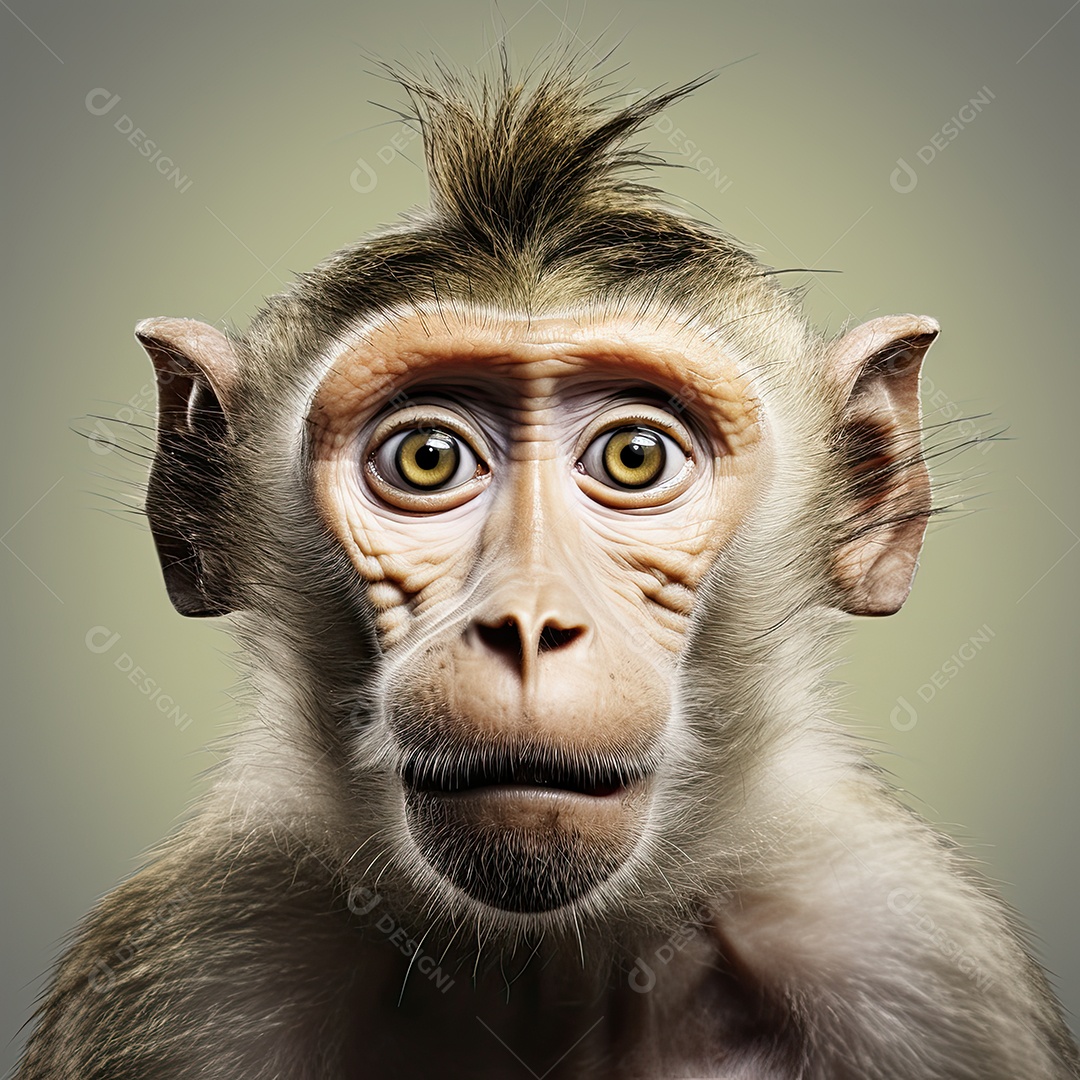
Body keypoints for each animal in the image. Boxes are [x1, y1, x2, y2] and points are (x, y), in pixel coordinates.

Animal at [16, 57, 1080, 1080]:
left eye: (634, 457)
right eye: (428, 458)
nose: (529, 627)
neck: (552, 968)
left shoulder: (915, 953)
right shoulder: (196, 960)